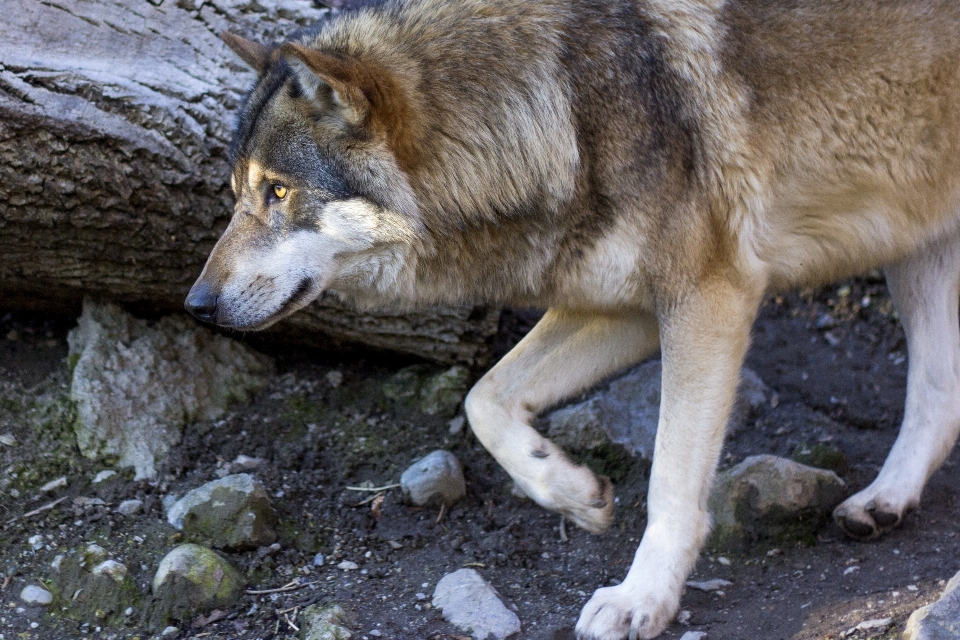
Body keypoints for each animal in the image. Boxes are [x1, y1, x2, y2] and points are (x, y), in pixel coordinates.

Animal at [182, 1, 960, 636]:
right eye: (239, 192)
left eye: (279, 192)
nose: (197, 304)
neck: (562, 107)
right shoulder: (625, 307)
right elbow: (485, 398)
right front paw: (569, 491)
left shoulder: (709, 299)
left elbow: (671, 478)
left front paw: (642, 599)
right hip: (916, 252)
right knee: (938, 393)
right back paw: (885, 500)